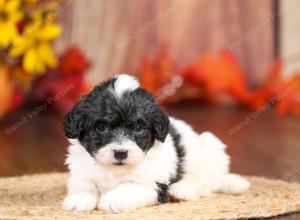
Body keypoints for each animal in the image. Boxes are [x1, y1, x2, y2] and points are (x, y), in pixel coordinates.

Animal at [62, 74, 250, 211]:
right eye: (101, 127)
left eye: (139, 128)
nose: (120, 153)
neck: (116, 171)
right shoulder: (80, 170)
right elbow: (83, 184)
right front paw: (79, 198)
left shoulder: (154, 183)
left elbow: (130, 187)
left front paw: (113, 199)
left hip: (210, 148)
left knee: (207, 183)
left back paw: (182, 190)